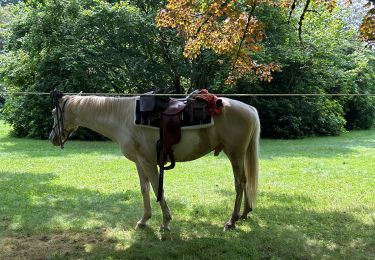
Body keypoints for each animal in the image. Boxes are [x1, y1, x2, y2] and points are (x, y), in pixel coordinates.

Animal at [49, 92, 262, 231]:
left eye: (53, 113)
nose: (52, 138)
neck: (123, 117)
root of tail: (249, 109)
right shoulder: (139, 162)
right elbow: (144, 189)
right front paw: (144, 220)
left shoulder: (148, 162)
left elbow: (156, 188)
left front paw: (165, 222)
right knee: (244, 182)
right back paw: (245, 213)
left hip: (235, 154)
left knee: (239, 184)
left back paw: (232, 221)